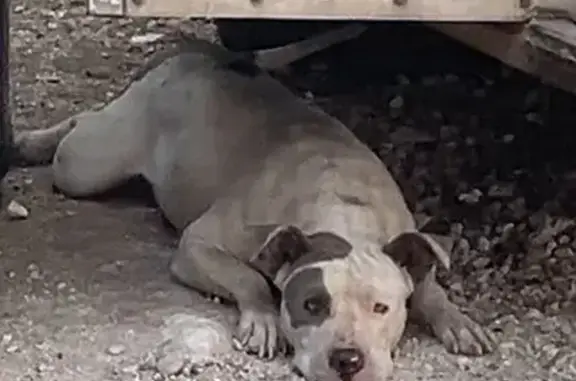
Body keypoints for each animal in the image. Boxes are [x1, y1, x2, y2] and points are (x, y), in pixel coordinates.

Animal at [15, 24, 498, 380]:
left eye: (382, 308)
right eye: (311, 305)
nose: (348, 360)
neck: (344, 212)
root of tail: (206, 54)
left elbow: (429, 283)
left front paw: (455, 318)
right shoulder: (197, 245)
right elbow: (247, 277)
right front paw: (263, 320)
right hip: (87, 166)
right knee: (80, 126)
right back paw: (31, 142)